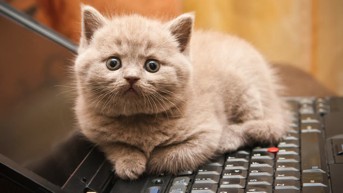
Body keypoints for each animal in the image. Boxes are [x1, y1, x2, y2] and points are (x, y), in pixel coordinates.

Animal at [74, 5, 290, 180]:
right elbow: (116, 147)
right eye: (113, 63)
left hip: (245, 89)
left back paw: (227, 138)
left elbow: (174, 154)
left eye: (152, 65)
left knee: (258, 125)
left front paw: (151, 161)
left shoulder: (206, 133)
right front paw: (129, 163)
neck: (138, 120)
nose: (132, 78)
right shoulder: (96, 134)